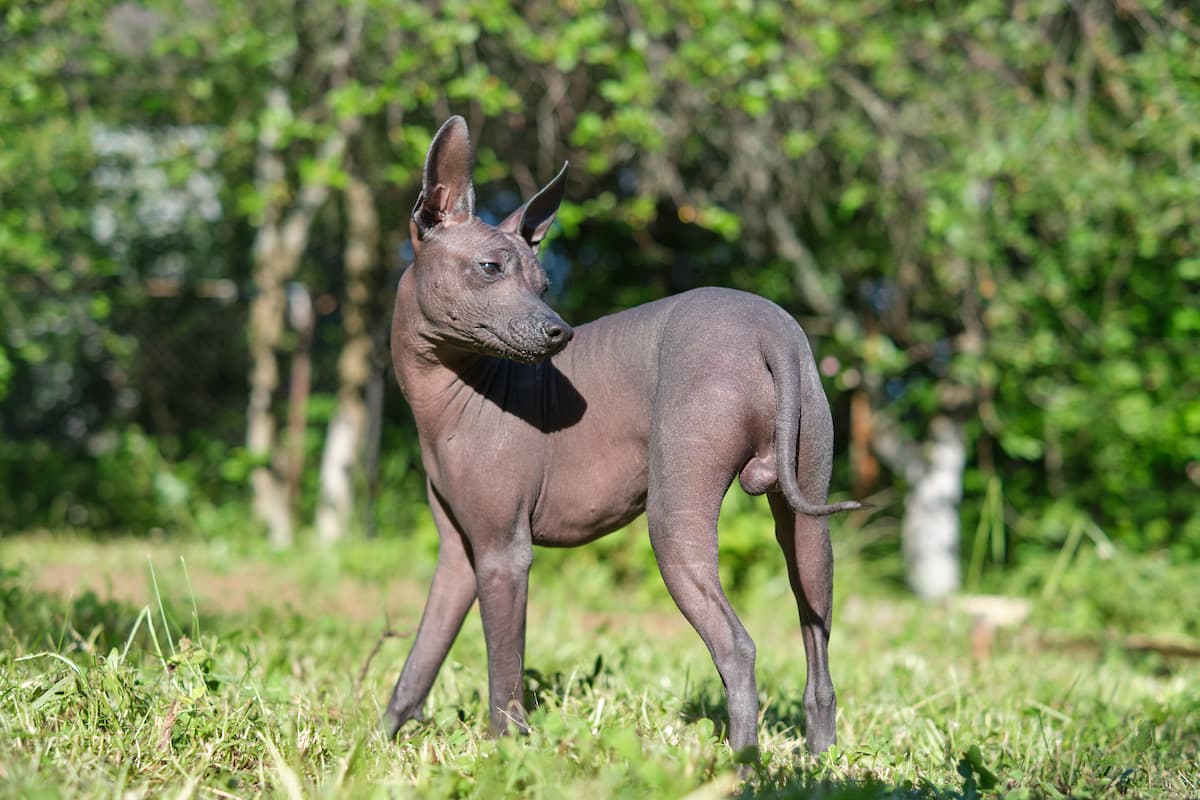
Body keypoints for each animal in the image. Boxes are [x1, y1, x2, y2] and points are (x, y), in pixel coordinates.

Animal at [384, 115, 864, 762]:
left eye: (543, 282)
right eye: (491, 269)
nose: (558, 332)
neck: (454, 393)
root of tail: (772, 328)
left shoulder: (504, 554)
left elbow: (503, 673)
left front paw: (506, 752)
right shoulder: (460, 555)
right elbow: (420, 660)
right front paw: (378, 740)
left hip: (673, 517)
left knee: (737, 647)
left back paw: (742, 765)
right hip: (808, 525)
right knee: (818, 648)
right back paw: (818, 762)